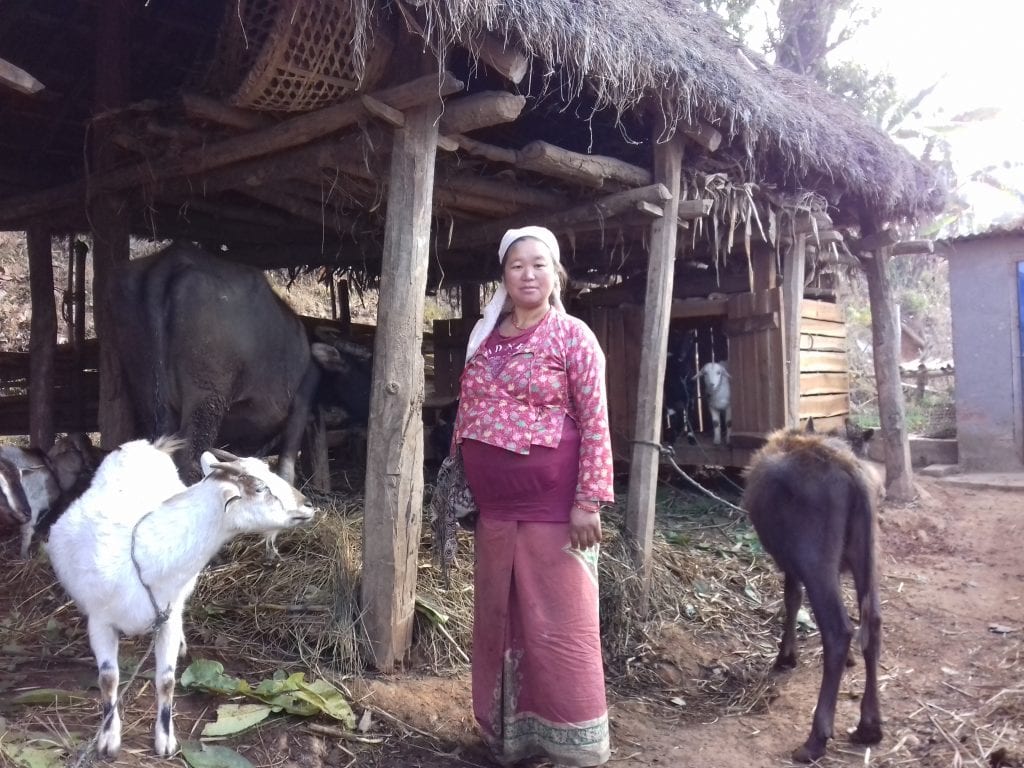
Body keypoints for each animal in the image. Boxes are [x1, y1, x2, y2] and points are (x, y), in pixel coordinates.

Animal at [46, 438, 315, 757]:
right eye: (260, 487)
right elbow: (108, 678)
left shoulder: (168, 618)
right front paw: (108, 738)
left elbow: (166, 680)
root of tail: (145, 445)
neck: (143, 558)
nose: (307, 504)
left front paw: (165, 740)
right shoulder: (100, 621)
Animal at [110, 243, 372, 483]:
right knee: (190, 458)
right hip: (207, 399)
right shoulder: (302, 402)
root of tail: (169, 262)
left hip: (149, 394)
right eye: (366, 367)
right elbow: (286, 464)